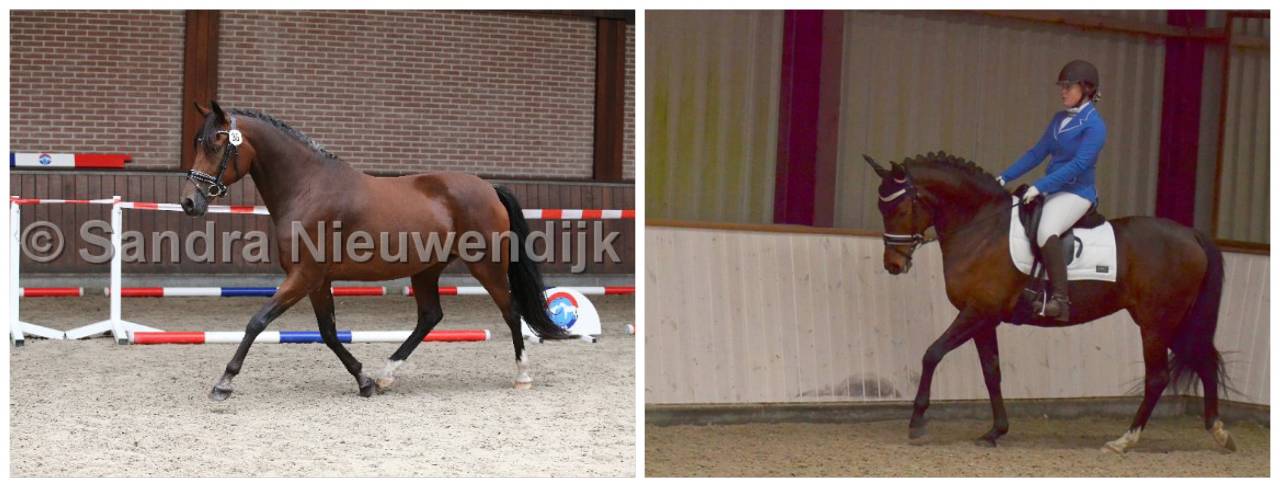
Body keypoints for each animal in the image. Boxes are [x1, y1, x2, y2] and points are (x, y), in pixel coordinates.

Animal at [180, 101, 579, 401]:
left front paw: (224, 383)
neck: (308, 188)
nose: (188, 202)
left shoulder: (304, 275)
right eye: (198, 142)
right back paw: (387, 374)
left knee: (510, 311)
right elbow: (328, 332)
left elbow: (258, 321)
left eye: (216, 144)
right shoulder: (317, 280)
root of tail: (489, 188)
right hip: (426, 270)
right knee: (430, 316)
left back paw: (522, 376)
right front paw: (365, 380)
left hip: (487, 266)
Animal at [862, 151, 1235, 453]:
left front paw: (917, 422)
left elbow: (932, 354)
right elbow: (991, 372)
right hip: (1175, 322)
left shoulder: (976, 312)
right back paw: (1218, 433)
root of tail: (1191, 234)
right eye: (880, 207)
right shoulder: (984, 318)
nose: (893, 265)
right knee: (1204, 361)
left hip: (1156, 323)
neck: (981, 229)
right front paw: (995, 431)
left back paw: (1124, 441)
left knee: (1157, 377)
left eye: (898, 207)